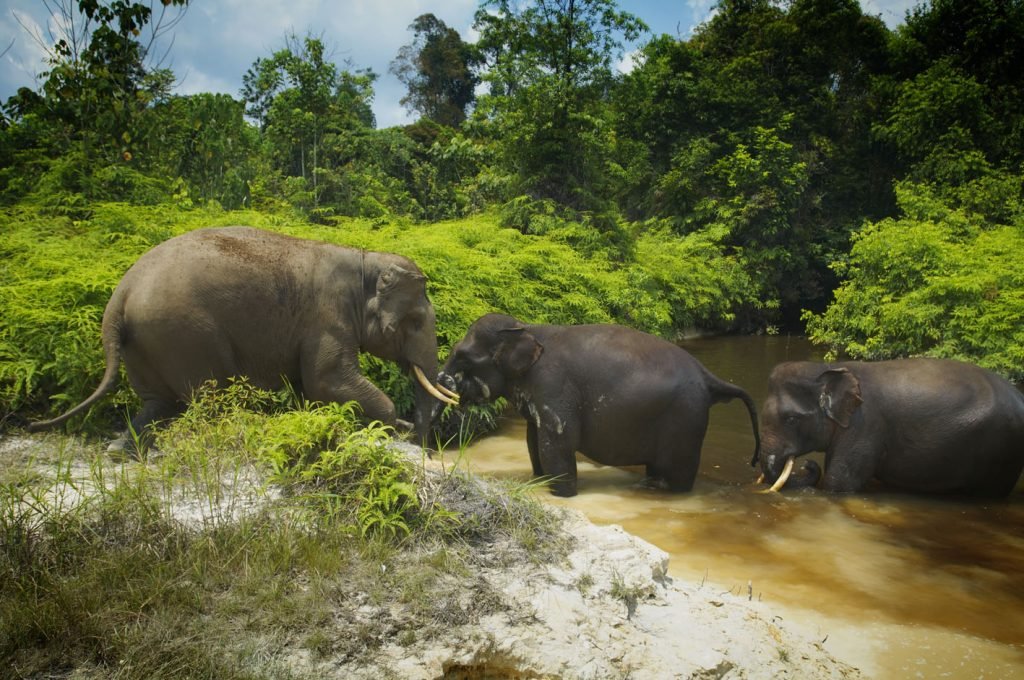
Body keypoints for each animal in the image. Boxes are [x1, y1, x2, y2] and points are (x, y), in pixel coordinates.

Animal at [29, 226, 458, 449]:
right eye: (415, 321)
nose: (420, 441)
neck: (365, 260)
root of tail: (120, 295)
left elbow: (310, 387)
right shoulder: (328, 315)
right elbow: (326, 380)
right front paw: (390, 426)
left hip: (146, 340)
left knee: (157, 401)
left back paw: (122, 451)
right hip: (184, 333)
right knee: (208, 396)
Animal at [438, 313, 760, 497]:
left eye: (463, 356)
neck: (526, 328)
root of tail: (709, 376)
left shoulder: (553, 384)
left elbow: (557, 440)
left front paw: (562, 495)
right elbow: (533, 438)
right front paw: (539, 481)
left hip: (686, 421)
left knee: (679, 474)